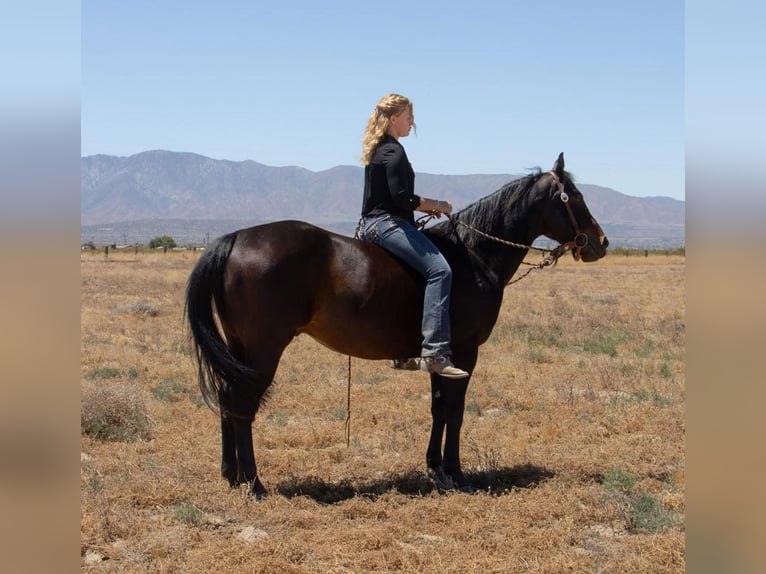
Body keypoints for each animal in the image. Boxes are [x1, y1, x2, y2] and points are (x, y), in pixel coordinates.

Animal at [188, 154, 612, 500]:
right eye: (574, 197)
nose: (601, 242)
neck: (473, 256)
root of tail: (236, 238)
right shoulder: (465, 352)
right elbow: (455, 411)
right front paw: (457, 474)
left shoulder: (441, 356)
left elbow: (438, 409)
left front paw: (436, 469)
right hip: (264, 348)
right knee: (242, 404)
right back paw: (254, 482)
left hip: (238, 347)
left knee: (227, 398)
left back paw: (231, 475)